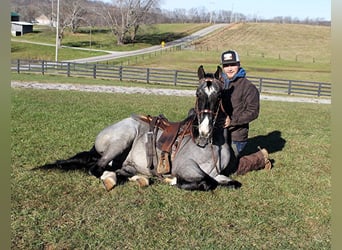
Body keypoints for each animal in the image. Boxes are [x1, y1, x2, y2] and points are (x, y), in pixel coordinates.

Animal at [34, 65, 242, 190]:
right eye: (198, 94)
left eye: (219, 95)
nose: (205, 130)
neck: (210, 146)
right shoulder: (187, 167)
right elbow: (207, 182)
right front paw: (173, 180)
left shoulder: (218, 174)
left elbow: (231, 183)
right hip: (122, 140)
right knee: (97, 168)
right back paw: (112, 178)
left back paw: (140, 177)